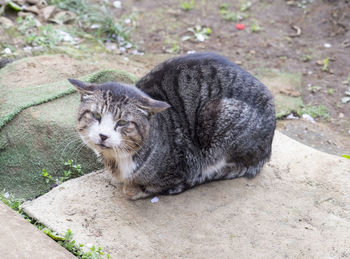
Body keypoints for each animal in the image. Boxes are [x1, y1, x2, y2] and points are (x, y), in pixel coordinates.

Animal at [68, 51, 276, 200]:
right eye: (96, 115)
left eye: (123, 122)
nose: (103, 135)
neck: (117, 160)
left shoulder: (185, 164)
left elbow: (149, 186)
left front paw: (135, 189)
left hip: (216, 112)